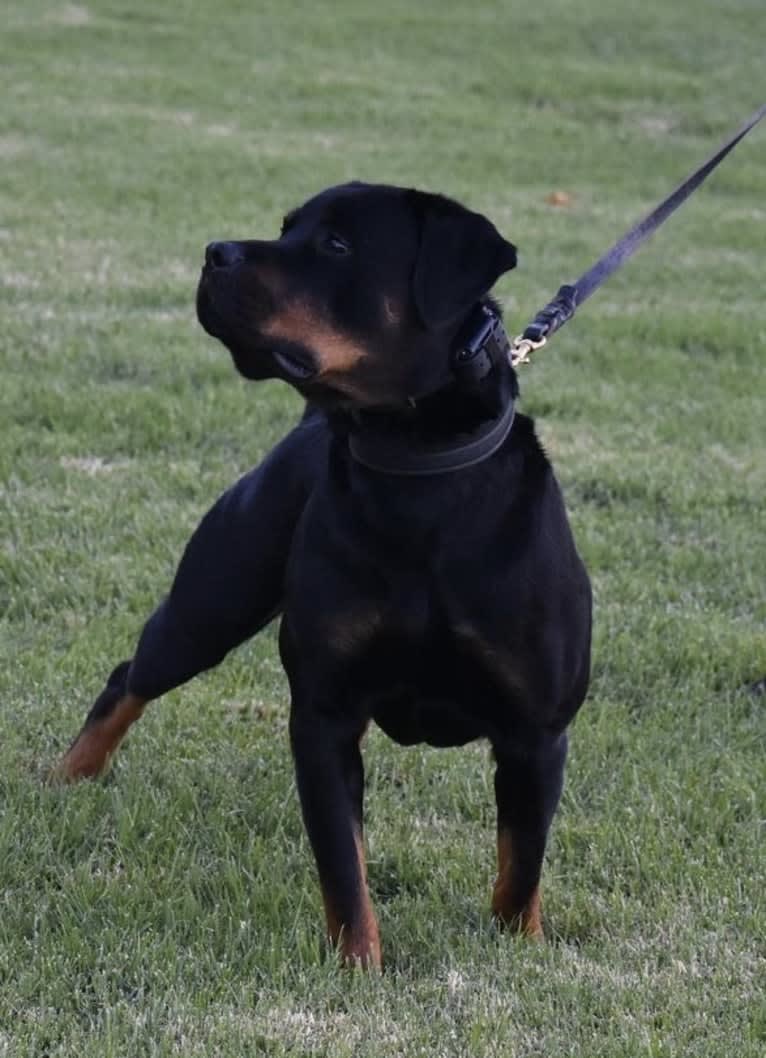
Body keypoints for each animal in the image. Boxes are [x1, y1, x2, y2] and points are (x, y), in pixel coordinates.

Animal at [58, 181, 592, 969]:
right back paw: (67, 775)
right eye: (286, 228)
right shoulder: (324, 714)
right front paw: (359, 966)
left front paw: (518, 947)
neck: (415, 474)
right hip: (209, 606)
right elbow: (343, 862)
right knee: (132, 675)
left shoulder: (536, 730)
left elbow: (521, 860)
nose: (215, 252)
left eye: (337, 245)